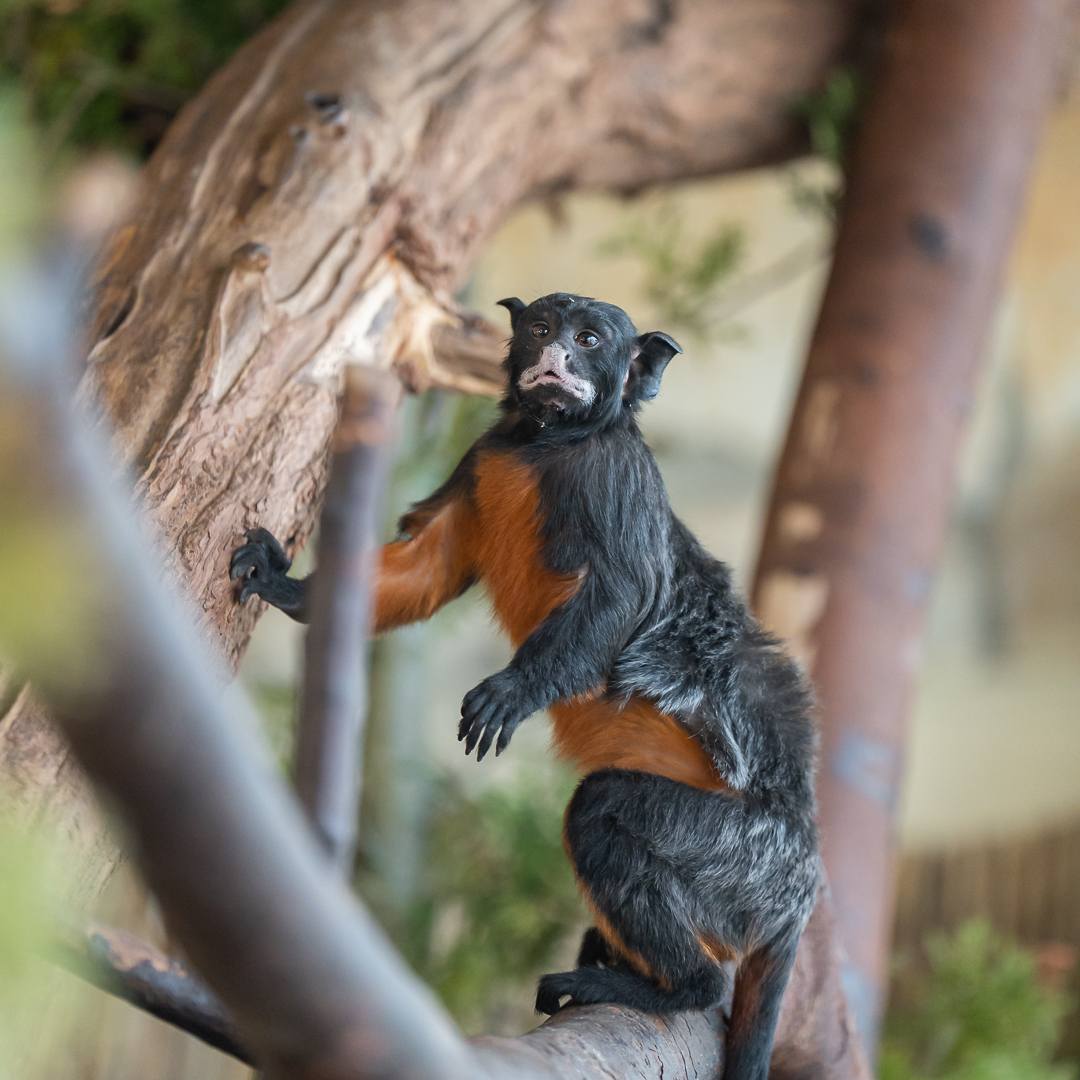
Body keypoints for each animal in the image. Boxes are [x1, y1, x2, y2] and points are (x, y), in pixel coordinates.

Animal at [232, 295, 812, 1080]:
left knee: (603, 809)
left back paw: (677, 986)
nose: (557, 359)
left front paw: (514, 690)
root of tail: (801, 886)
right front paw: (286, 586)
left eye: (589, 340)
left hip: (745, 855)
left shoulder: (615, 475)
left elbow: (622, 598)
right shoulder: (484, 459)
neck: (546, 445)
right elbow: (431, 560)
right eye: (542, 330)